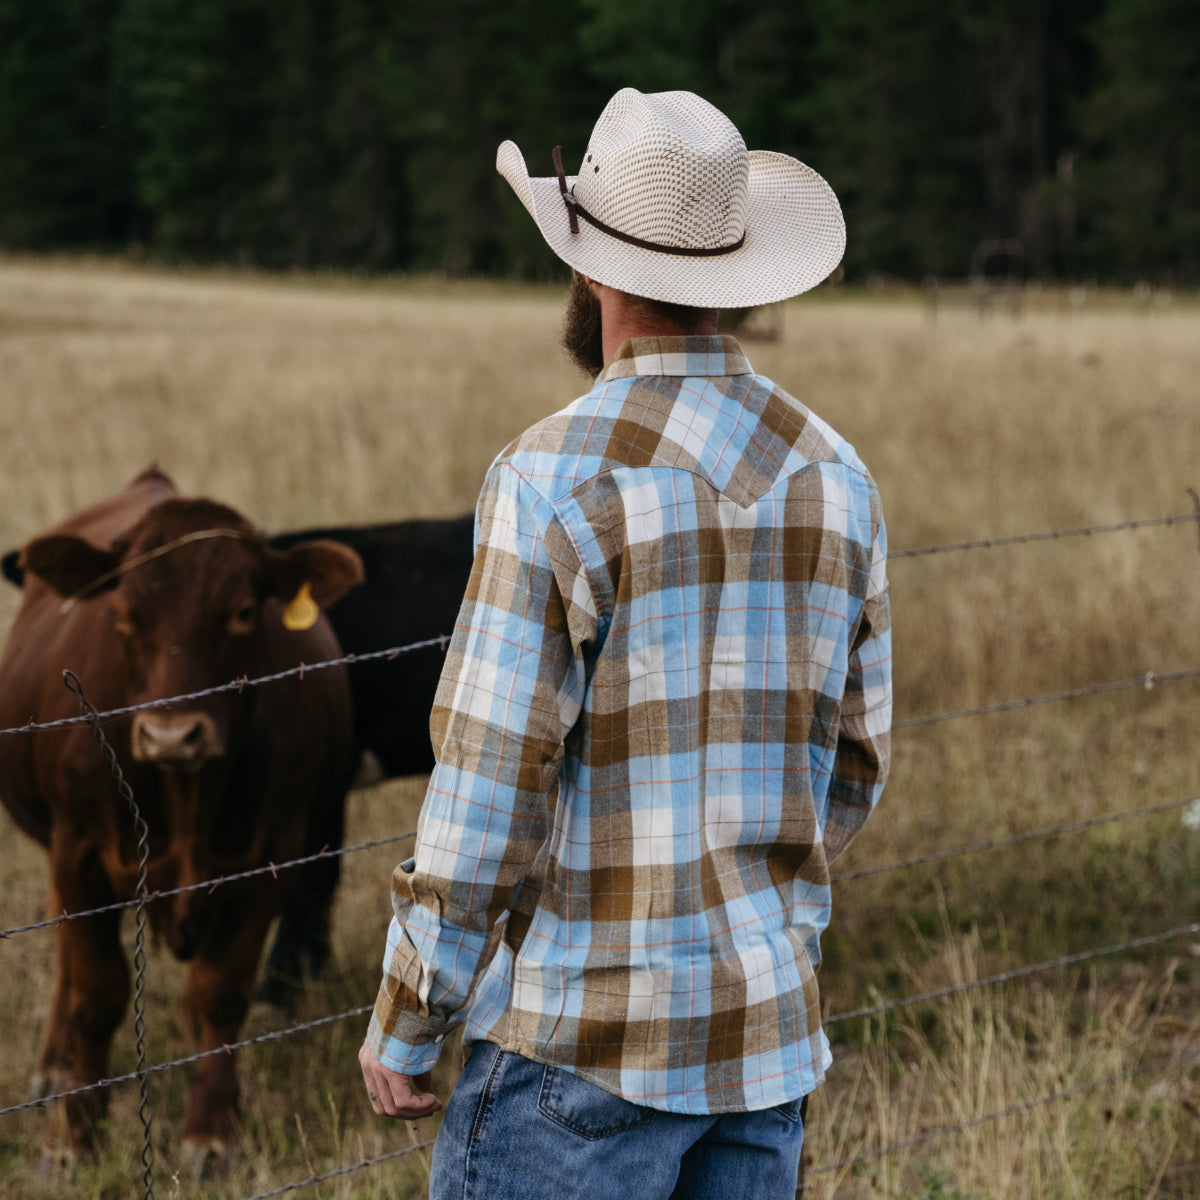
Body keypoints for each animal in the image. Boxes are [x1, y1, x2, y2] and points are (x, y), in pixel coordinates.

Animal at [1, 468, 364, 1171]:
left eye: (244, 611)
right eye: (123, 615)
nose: (173, 736)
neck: (187, 796)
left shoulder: (272, 857)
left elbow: (221, 991)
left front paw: (212, 1132)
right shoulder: (78, 854)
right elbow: (97, 993)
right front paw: (74, 1135)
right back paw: (55, 1067)